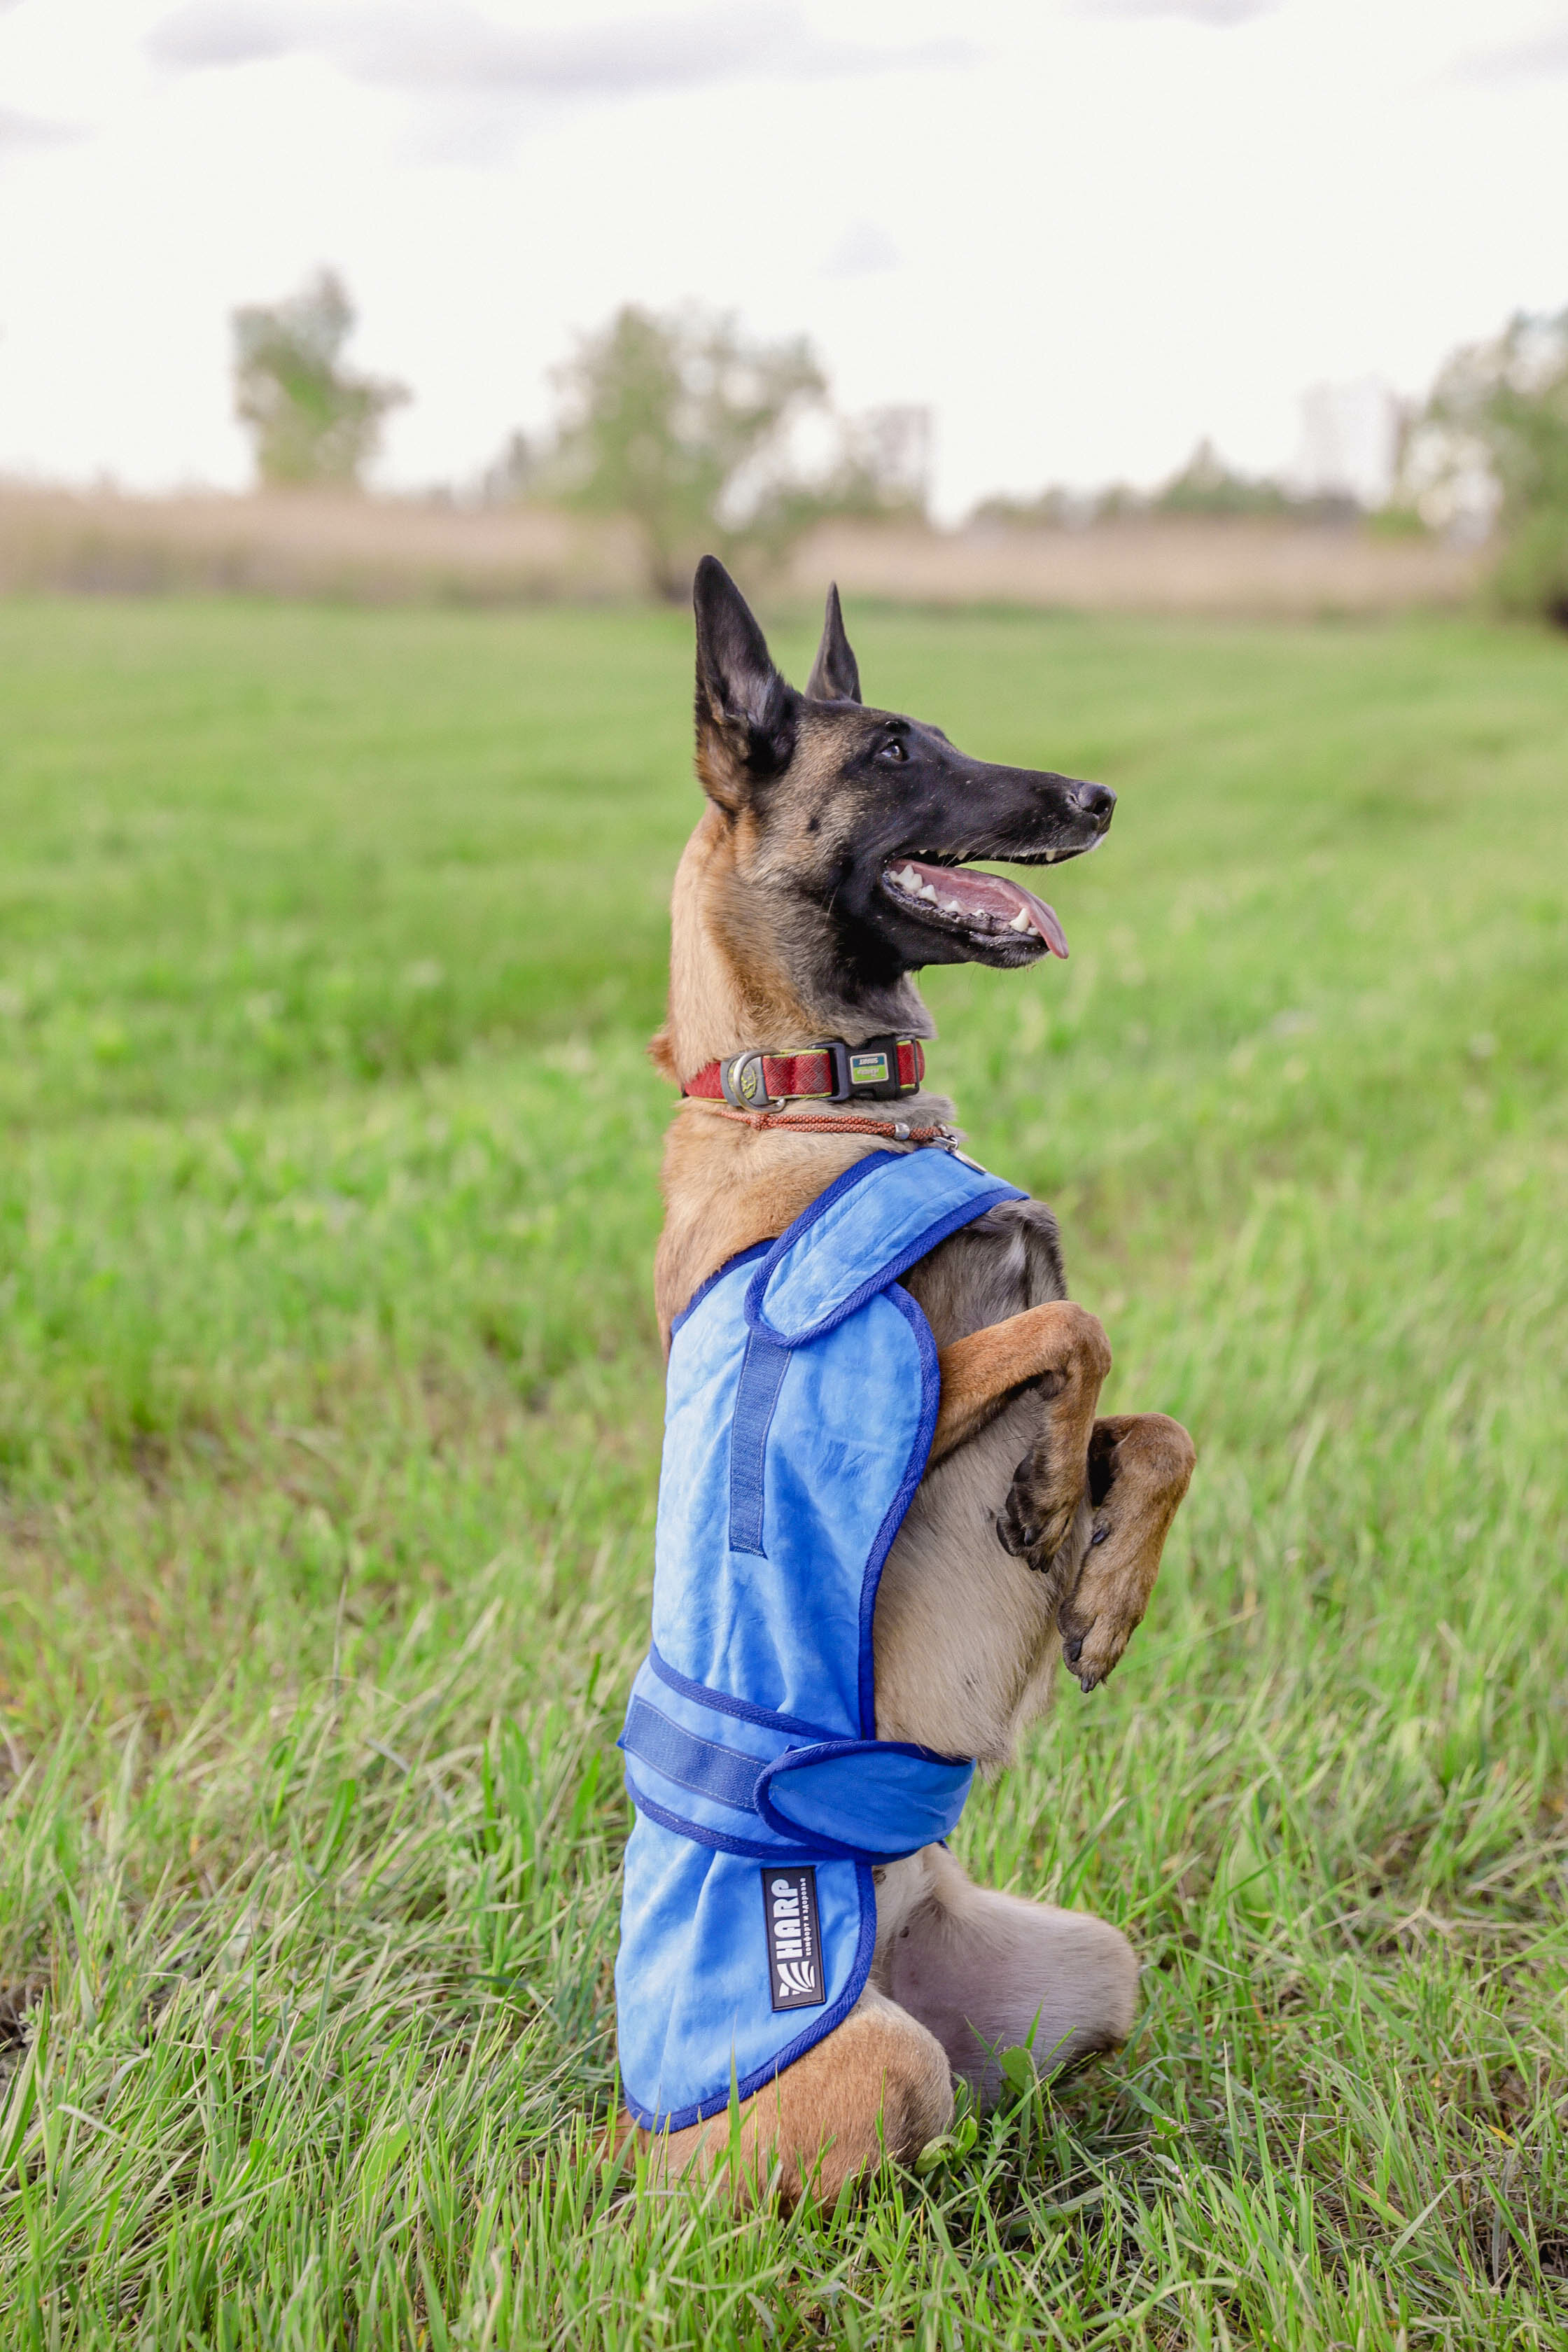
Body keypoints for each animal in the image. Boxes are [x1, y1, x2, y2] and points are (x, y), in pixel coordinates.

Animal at [620, 554, 1194, 2201]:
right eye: (887, 752)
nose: (1098, 795)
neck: (814, 1111)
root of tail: (630, 2140)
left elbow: (1160, 1425)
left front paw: (1101, 1590)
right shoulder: (922, 1390)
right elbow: (1081, 1338)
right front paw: (1051, 1499)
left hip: (1087, 1967)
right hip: (876, 2067)